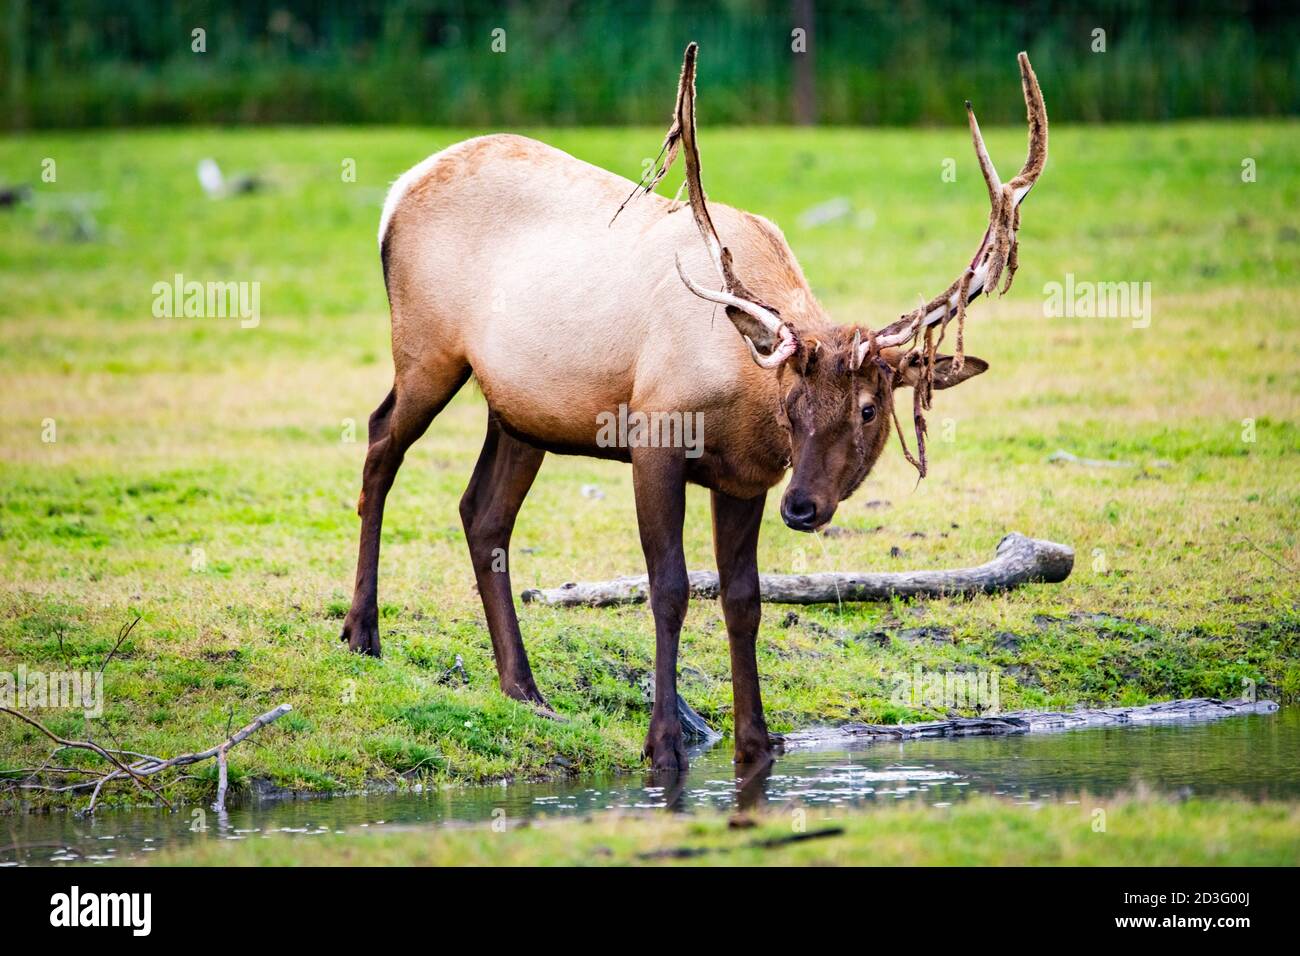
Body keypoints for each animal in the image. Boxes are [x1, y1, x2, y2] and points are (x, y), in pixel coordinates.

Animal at [343, 48, 1045, 775]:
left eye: (870, 408)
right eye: (791, 404)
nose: (803, 507)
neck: (742, 397)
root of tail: (395, 193)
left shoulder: (745, 479)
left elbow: (743, 598)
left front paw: (756, 743)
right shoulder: (654, 434)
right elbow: (672, 587)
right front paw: (663, 745)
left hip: (518, 411)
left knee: (482, 514)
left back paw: (524, 689)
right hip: (426, 350)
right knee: (379, 442)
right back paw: (362, 634)